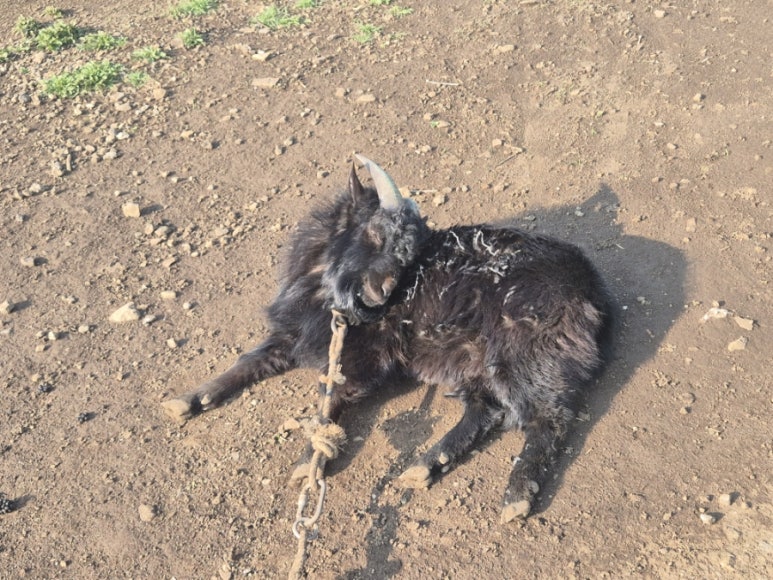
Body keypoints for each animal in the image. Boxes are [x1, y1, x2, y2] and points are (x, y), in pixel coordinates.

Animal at [162, 156, 614, 521]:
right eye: (376, 234)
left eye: (409, 253)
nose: (381, 294)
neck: (325, 287)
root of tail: (591, 288)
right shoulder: (292, 335)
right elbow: (247, 361)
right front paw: (190, 399)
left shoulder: (361, 356)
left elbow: (331, 399)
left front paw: (310, 462)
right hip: (474, 363)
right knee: (487, 411)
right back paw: (425, 466)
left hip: (524, 353)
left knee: (547, 419)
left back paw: (516, 496)